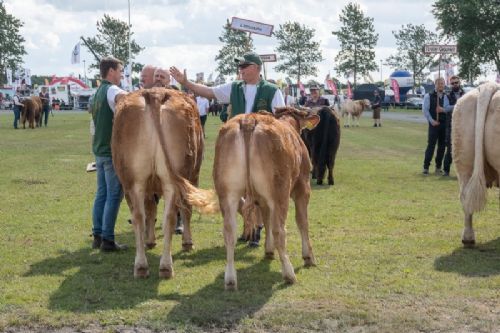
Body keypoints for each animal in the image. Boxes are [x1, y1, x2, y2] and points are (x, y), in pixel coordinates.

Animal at [113, 87, 203, 276]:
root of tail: (155, 93)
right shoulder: (194, 176)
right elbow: (186, 209)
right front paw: (187, 242)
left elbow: (150, 210)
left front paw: (150, 240)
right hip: (173, 180)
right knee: (169, 217)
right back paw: (165, 266)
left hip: (133, 181)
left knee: (139, 216)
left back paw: (141, 266)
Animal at [213, 107, 318, 288]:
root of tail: (249, 120)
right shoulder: (303, 187)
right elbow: (302, 221)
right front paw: (308, 257)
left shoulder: (262, 199)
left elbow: (266, 220)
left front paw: (268, 251)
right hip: (280, 193)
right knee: (279, 230)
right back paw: (289, 274)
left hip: (227, 193)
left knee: (229, 231)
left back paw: (230, 279)